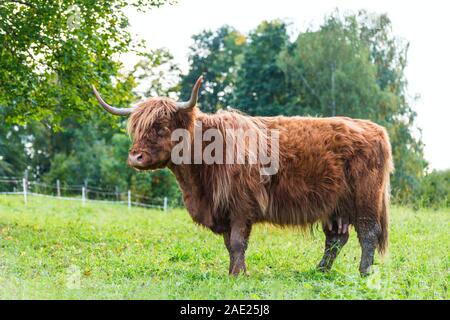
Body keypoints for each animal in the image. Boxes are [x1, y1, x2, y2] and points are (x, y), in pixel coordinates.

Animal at [92, 76, 394, 276]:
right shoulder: (223, 209)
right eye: (136, 128)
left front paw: (238, 275)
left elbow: (238, 242)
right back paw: (319, 270)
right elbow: (230, 245)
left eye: (161, 126)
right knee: (336, 238)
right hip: (335, 205)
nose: (135, 157)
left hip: (365, 199)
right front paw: (235, 272)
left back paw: (363, 273)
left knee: (368, 233)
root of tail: (375, 129)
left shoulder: (241, 206)